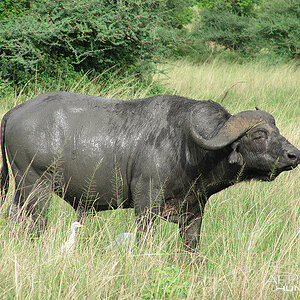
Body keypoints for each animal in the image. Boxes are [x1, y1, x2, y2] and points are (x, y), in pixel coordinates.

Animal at [0, 92, 300, 250]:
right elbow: (145, 239)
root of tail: (16, 112)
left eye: (276, 130)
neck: (188, 147)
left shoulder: (195, 209)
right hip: (35, 187)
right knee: (35, 225)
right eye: (259, 134)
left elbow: (191, 245)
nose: (293, 154)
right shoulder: (146, 202)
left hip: (20, 192)